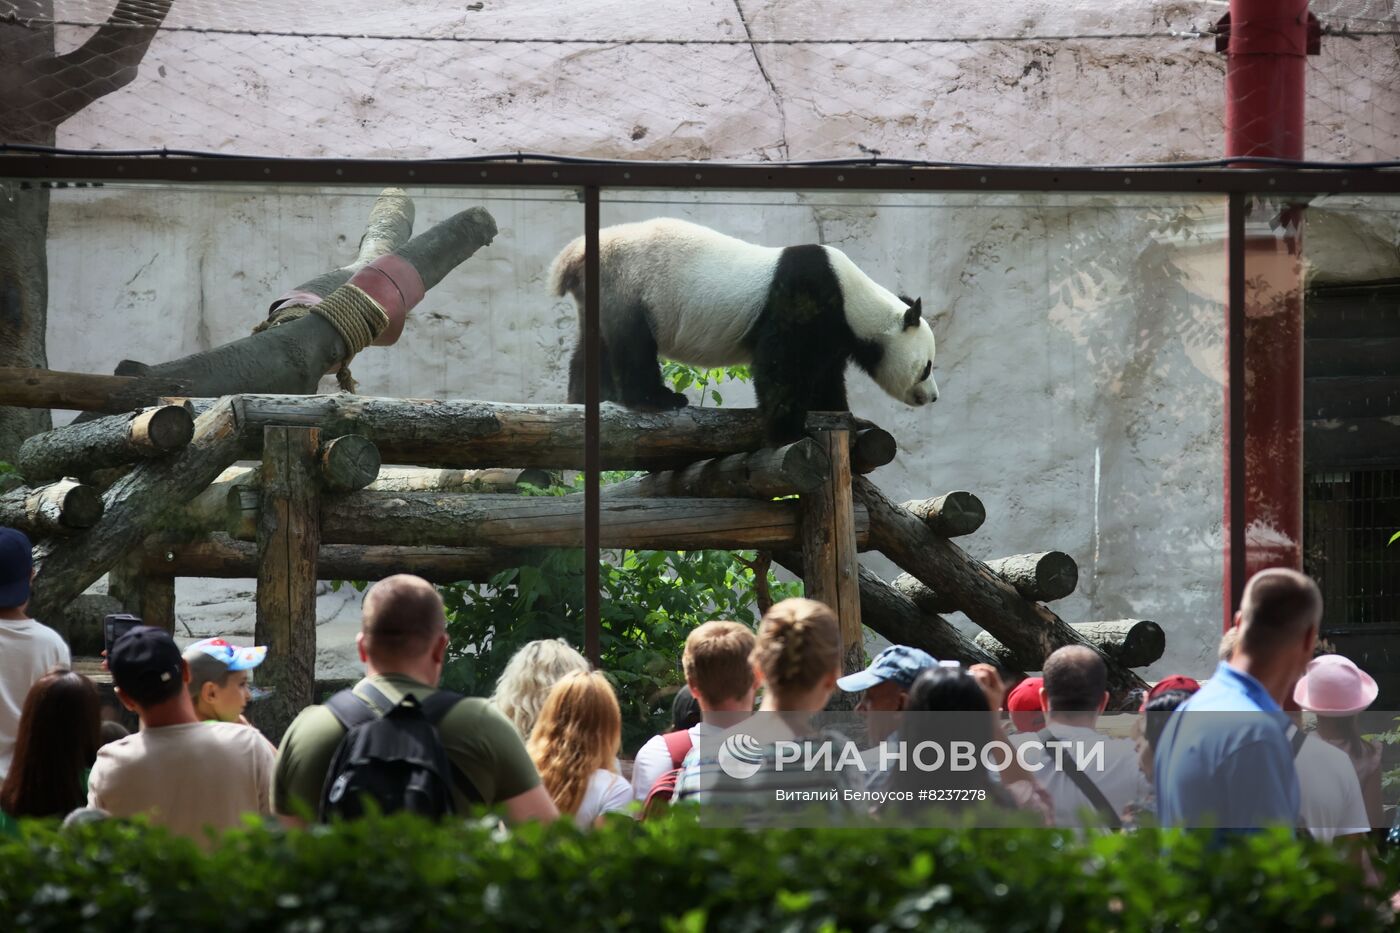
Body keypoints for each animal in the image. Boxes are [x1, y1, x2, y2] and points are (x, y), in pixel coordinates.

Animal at [548, 215, 940, 442]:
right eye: (927, 367)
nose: (933, 397)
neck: (853, 299)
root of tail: (574, 256)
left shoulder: (833, 334)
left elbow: (825, 380)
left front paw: (849, 420)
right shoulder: (804, 296)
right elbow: (778, 366)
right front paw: (789, 431)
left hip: (603, 294)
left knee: (592, 345)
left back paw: (584, 397)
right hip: (631, 283)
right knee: (633, 346)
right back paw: (657, 399)